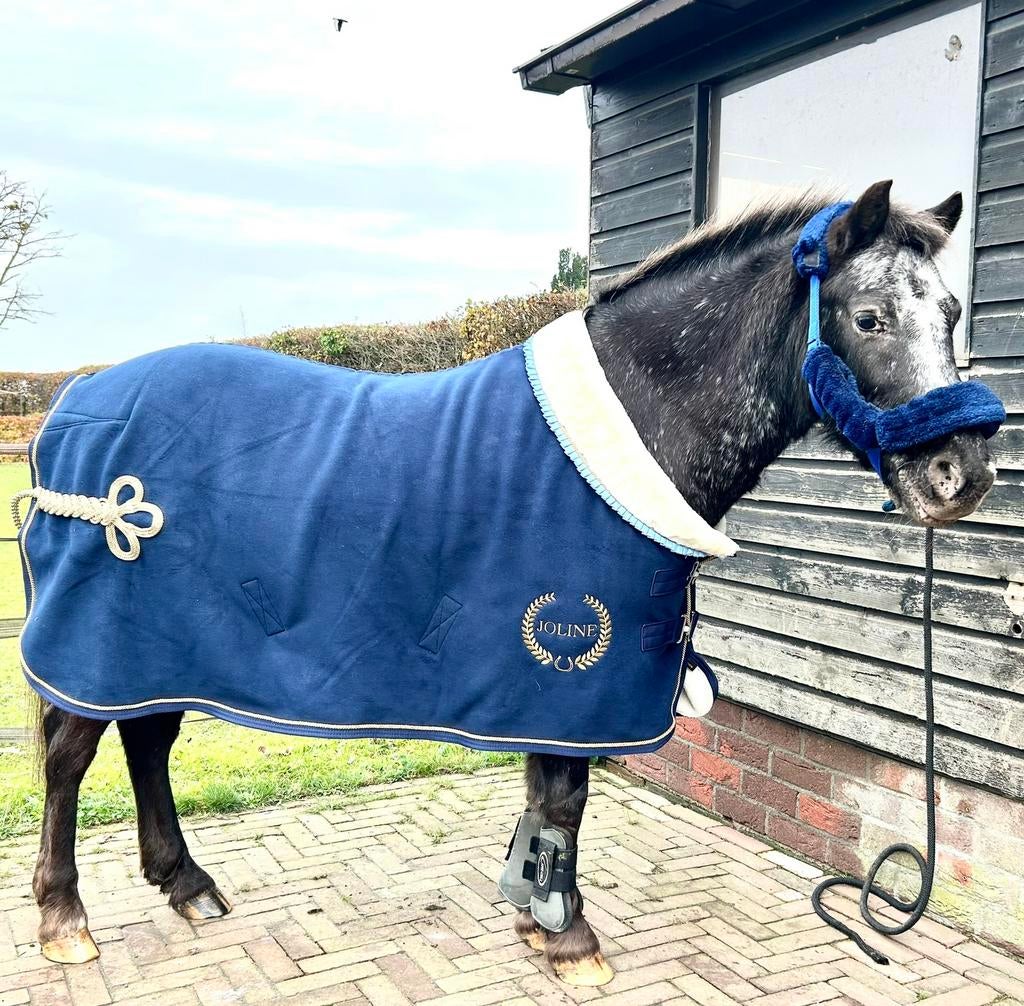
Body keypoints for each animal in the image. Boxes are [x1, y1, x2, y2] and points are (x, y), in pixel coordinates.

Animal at [16, 180, 1000, 987]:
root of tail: (73, 404)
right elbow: (564, 801)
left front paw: (536, 918)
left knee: (147, 744)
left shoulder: (548, 690)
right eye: (869, 317)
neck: (632, 428)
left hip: (156, 646)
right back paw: (65, 920)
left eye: (954, 311)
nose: (961, 475)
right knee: (70, 762)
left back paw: (186, 883)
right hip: (97, 644)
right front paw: (571, 941)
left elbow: (544, 805)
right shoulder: (568, 671)